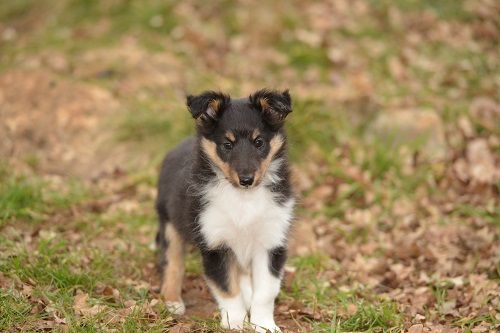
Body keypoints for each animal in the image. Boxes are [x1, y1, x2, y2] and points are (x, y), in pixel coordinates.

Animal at [156, 89, 294, 330]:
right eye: (227, 145)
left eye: (259, 142)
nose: (246, 180)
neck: (243, 199)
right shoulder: (216, 244)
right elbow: (228, 289)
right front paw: (235, 323)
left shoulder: (271, 241)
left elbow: (265, 291)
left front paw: (264, 325)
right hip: (170, 223)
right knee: (172, 263)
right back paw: (172, 301)